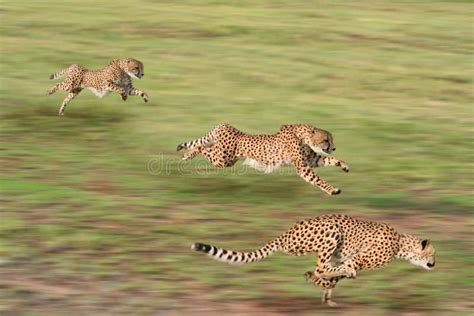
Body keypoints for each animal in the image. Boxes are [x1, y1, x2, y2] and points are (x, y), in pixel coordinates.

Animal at [178, 123, 348, 195]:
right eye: (326, 140)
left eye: (330, 140)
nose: (333, 147)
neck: (304, 136)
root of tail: (224, 125)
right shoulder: (303, 167)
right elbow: (318, 180)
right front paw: (332, 190)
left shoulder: (311, 160)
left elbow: (330, 160)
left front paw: (344, 165)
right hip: (222, 159)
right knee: (202, 147)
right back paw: (188, 154)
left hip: (223, 156)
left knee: (204, 145)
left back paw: (187, 153)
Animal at [191, 214, 436, 308]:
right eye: (432, 253)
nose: (434, 264)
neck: (401, 244)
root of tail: (286, 233)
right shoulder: (356, 258)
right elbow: (342, 270)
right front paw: (326, 287)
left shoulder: (346, 259)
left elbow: (337, 275)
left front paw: (327, 295)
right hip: (332, 232)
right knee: (319, 267)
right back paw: (313, 276)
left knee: (322, 269)